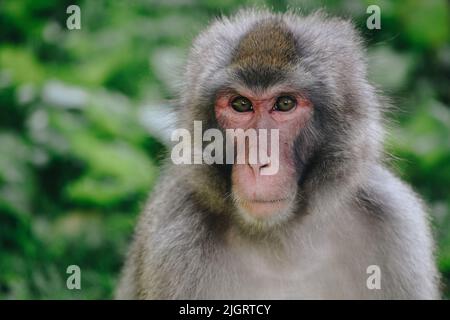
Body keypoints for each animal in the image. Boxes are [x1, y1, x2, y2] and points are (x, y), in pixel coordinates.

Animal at [115, 10, 440, 300]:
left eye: (284, 103)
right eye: (241, 104)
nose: (259, 163)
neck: (282, 239)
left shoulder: (394, 224)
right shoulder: (175, 240)